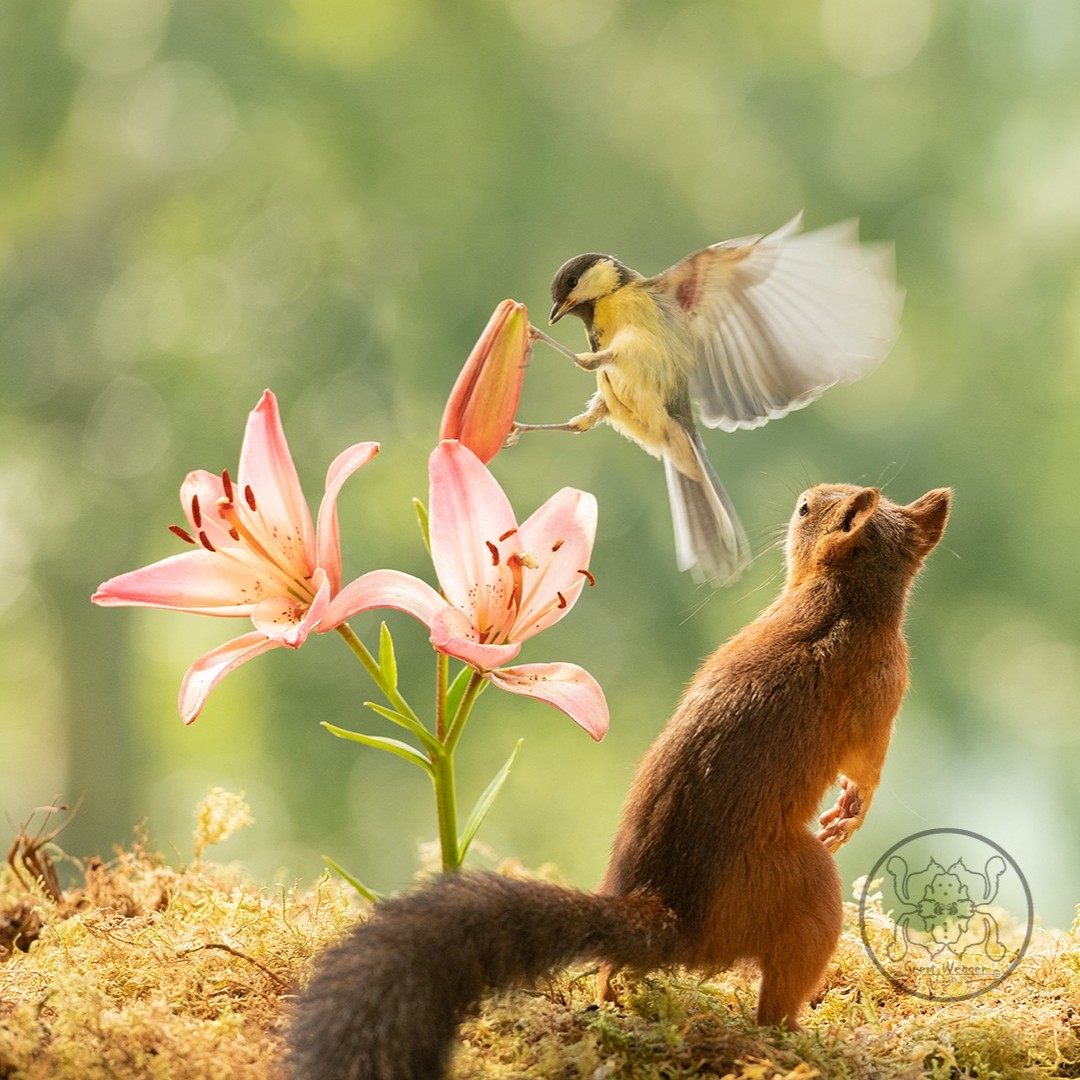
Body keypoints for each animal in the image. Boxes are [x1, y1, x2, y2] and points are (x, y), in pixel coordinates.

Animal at [287, 482, 951, 1080]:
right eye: (809, 505)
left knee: (619, 969)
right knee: (775, 1001)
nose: (800, 497)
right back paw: (799, 1038)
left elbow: (867, 764)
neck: (845, 597)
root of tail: (673, 916)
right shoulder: (881, 687)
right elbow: (866, 764)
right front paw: (851, 811)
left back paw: (610, 997)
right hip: (808, 887)